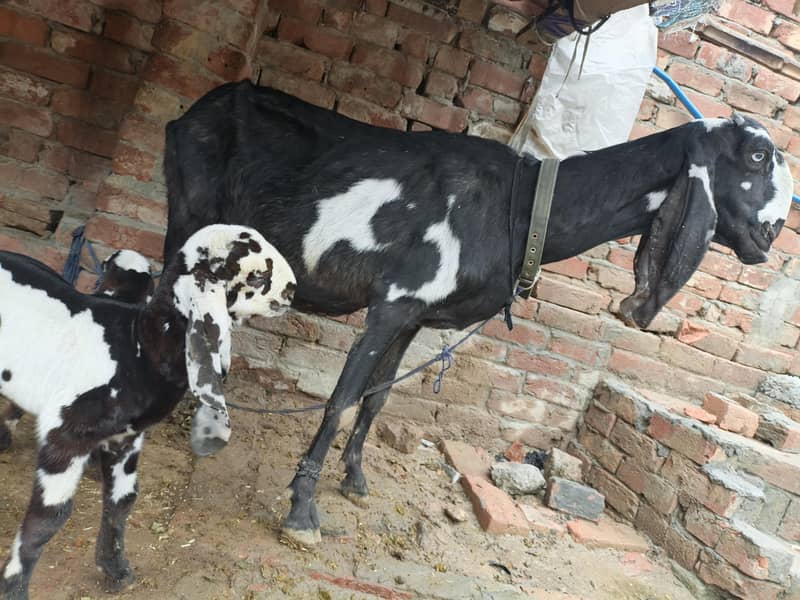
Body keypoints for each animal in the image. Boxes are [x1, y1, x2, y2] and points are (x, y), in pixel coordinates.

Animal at [163, 81, 794, 547]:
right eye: (758, 155)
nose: (773, 233)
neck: (521, 204)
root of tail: (193, 112)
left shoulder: (413, 318)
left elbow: (378, 398)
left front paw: (356, 479)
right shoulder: (395, 299)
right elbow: (341, 401)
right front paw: (301, 512)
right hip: (188, 218)